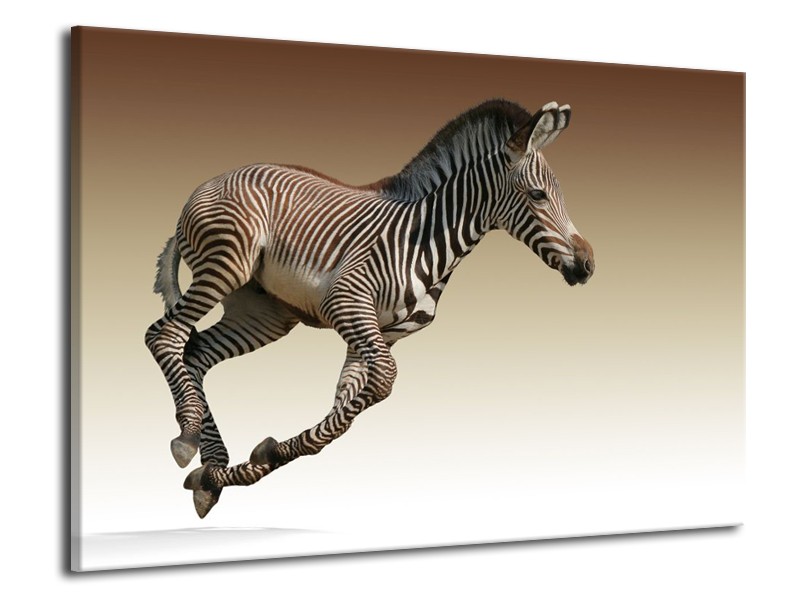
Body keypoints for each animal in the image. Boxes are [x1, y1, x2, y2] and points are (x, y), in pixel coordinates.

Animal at [145, 99, 594, 518]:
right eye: (537, 195)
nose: (587, 265)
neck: (427, 239)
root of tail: (215, 180)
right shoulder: (347, 303)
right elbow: (384, 382)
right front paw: (253, 460)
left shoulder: (381, 333)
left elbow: (347, 405)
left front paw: (254, 462)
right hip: (226, 263)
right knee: (164, 335)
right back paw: (187, 438)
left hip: (264, 313)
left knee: (197, 352)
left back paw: (211, 470)